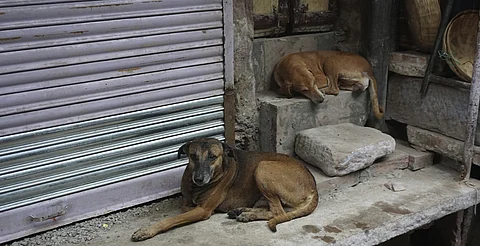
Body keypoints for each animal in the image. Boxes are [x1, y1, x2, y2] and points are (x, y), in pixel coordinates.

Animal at [131, 137, 318, 241]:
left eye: (212, 157)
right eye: (193, 156)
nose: (199, 178)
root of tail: (313, 187)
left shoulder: (203, 210)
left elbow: (171, 219)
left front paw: (146, 231)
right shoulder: (188, 202)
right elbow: (185, 206)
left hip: (263, 167)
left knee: (278, 212)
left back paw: (247, 214)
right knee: (274, 210)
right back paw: (243, 211)